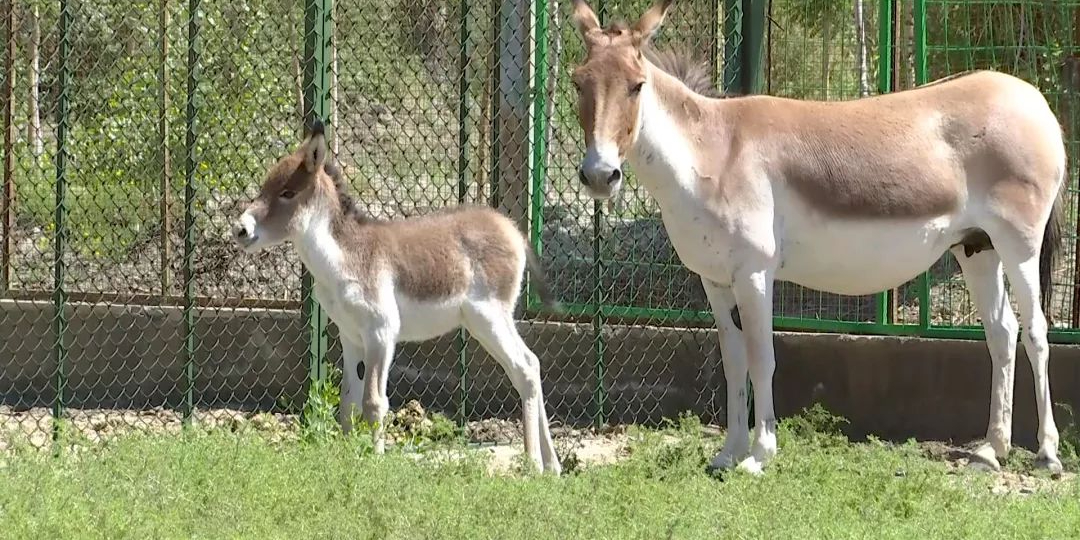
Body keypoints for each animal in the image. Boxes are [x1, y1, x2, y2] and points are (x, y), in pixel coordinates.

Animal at [231, 119, 561, 473]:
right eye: (265, 186)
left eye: (287, 193)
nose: (240, 230)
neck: (346, 255)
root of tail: (511, 228)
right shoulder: (350, 336)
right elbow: (348, 402)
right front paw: (348, 456)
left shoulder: (381, 332)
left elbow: (374, 401)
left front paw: (375, 460)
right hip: (484, 322)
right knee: (530, 365)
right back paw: (553, 466)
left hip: (490, 317)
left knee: (524, 368)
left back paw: (532, 464)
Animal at [570, 0, 1067, 475]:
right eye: (578, 83)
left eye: (637, 85)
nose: (599, 176)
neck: (713, 153)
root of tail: (1034, 100)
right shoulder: (715, 280)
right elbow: (733, 361)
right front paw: (728, 453)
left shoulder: (754, 274)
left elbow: (762, 357)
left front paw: (759, 455)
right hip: (977, 247)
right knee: (1002, 333)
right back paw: (992, 450)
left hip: (1019, 244)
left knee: (1036, 331)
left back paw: (1046, 453)